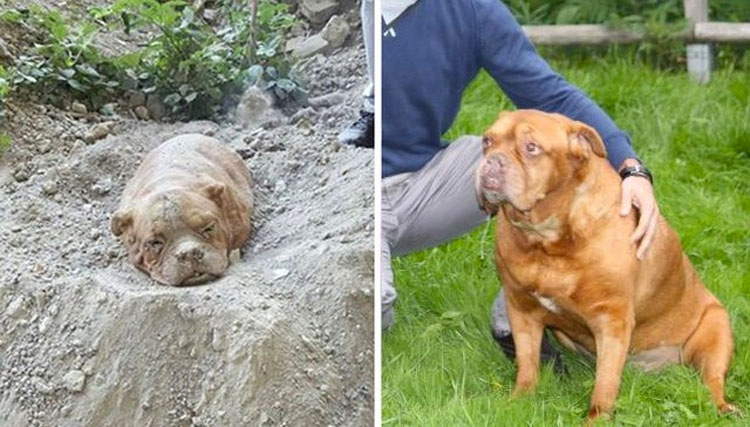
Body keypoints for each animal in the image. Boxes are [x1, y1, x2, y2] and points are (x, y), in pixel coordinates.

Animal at [478, 109, 736, 422]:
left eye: (531, 148)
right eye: (488, 141)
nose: (493, 161)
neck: (544, 239)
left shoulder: (612, 319)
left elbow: (605, 384)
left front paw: (596, 419)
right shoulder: (521, 309)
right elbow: (527, 365)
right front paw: (518, 401)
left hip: (717, 330)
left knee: (713, 380)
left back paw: (723, 407)